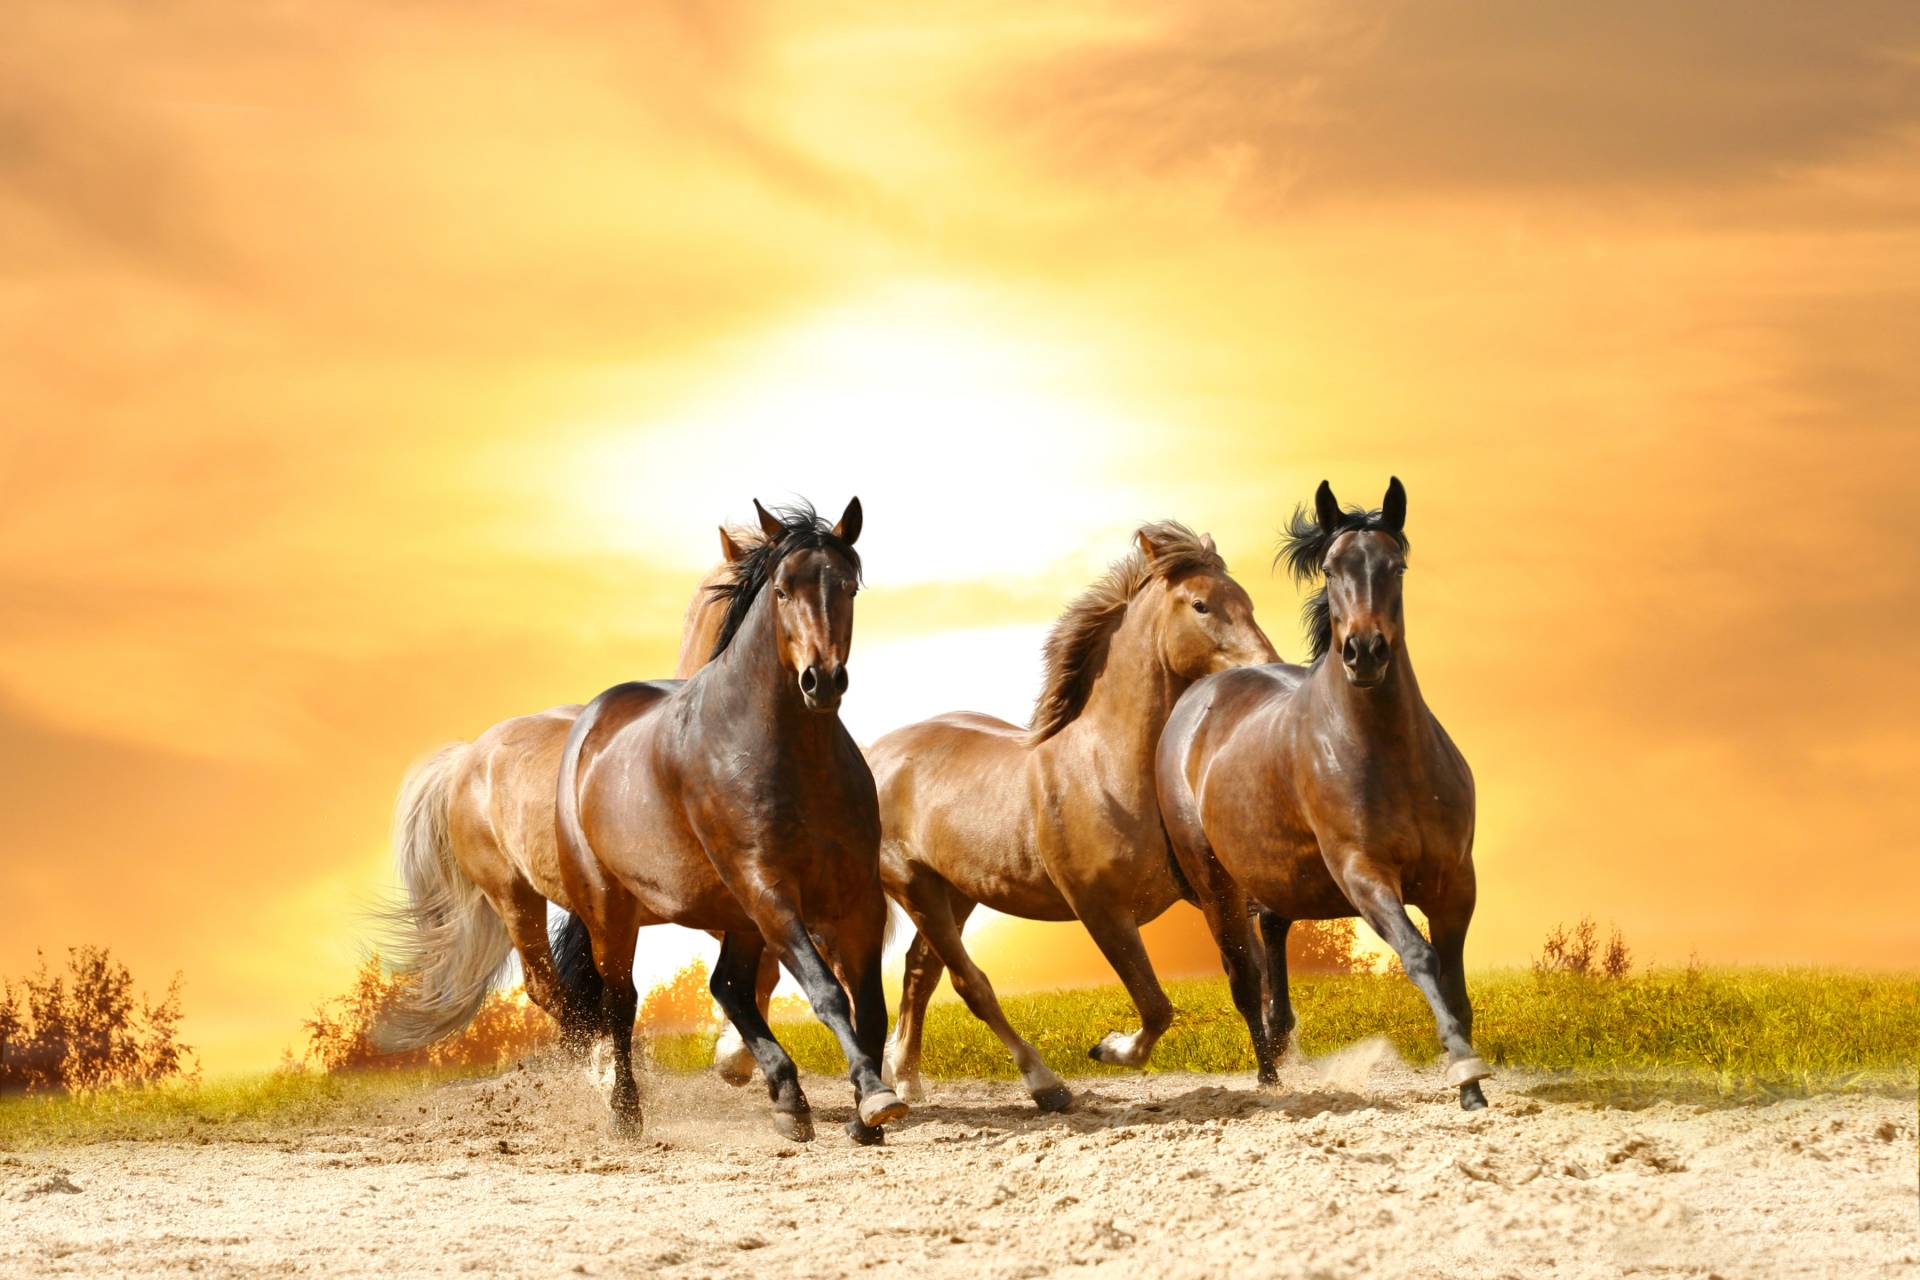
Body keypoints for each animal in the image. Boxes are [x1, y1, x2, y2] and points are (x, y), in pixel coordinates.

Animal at [550, 498, 905, 1144]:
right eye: (783, 590)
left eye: (847, 586)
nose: (822, 680)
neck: (791, 757)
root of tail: (590, 725)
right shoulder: (770, 889)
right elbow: (826, 993)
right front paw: (875, 1096)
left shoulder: (856, 897)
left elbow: (868, 1004)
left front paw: (865, 1114)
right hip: (613, 910)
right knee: (622, 1001)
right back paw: (626, 1114)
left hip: (736, 913)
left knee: (728, 986)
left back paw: (788, 1099)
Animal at [869, 522, 1278, 1111]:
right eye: (1201, 604)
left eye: (1246, 600)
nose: (1266, 667)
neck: (1107, 768)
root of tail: (877, 754)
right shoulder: (1100, 910)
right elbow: (1156, 1006)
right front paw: (1108, 1048)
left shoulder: (1216, 893)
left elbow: (1249, 980)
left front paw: (1277, 1075)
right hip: (915, 887)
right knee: (970, 984)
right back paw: (1046, 1085)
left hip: (956, 893)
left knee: (920, 973)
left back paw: (906, 1078)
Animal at [1155, 478, 1493, 1110]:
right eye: (1332, 569)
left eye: (1396, 565)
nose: (1364, 652)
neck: (1390, 755)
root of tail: (1197, 697)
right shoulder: (1363, 873)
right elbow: (1420, 956)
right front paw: (1465, 1072)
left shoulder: (1456, 881)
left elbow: (1456, 983)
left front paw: (1472, 1082)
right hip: (1215, 885)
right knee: (1244, 979)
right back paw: (1269, 1080)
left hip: (1278, 874)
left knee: (1272, 938)